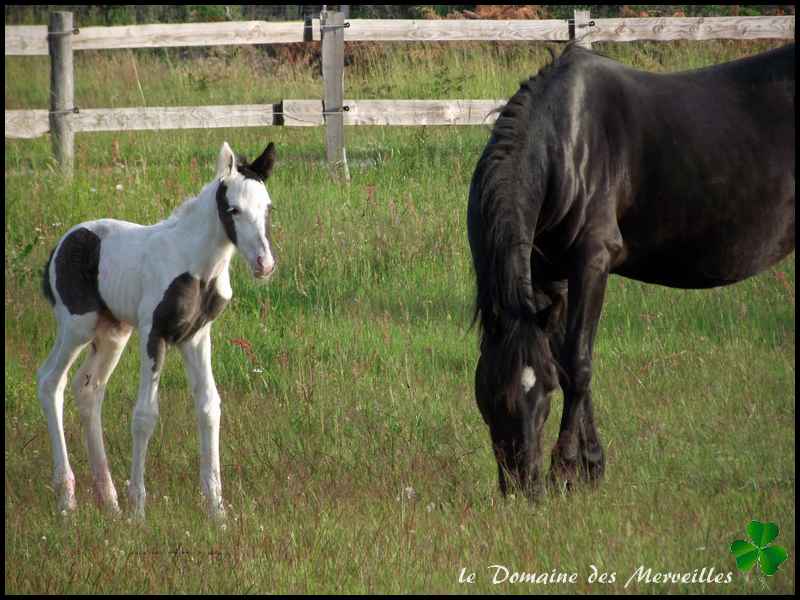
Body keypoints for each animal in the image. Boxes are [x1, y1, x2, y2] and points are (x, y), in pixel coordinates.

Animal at [37, 142, 278, 520]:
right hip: (77, 326)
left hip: (113, 333)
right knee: (50, 381)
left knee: (88, 388)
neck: (196, 267)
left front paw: (217, 511)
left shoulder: (196, 337)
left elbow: (209, 406)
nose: (264, 265)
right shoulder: (154, 334)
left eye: (267, 207)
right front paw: (139, 510)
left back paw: (109, 500)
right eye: (233, 209)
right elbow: (144, 415)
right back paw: (68, 500)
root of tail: (61, 244)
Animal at [468, 43, 792, 496]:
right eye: (490, 393)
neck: (566, 141)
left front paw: (566, 469)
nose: (524, 487)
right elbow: (566, 357)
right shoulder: (549, 274)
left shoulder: (592, 261)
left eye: (544, 392)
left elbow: (578, 364)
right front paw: (591, 467)